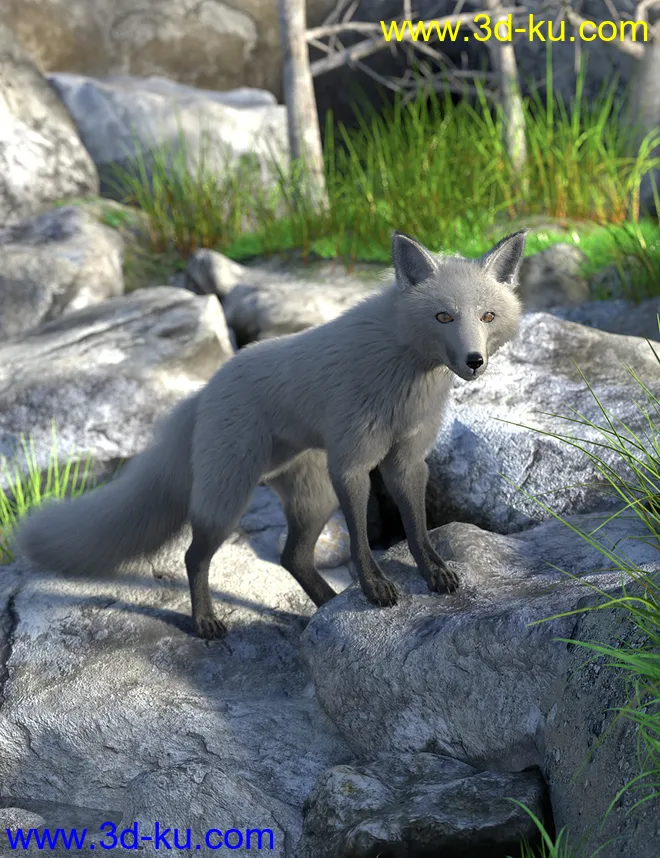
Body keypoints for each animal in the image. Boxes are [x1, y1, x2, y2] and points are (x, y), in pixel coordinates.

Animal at [15, 229, 527, 639]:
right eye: (443, 317)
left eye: (487, 317)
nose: (474, 362)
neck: (404, 371)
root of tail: (203, 392)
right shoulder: (352, 461)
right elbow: (361, 543)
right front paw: (374, 587)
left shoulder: (406, 459)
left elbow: (418, 531)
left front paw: (434, 575)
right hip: (228, 499)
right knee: (194, 557)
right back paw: (206, 622)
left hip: (311, 497)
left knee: (291, 558)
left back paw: (321, 611)